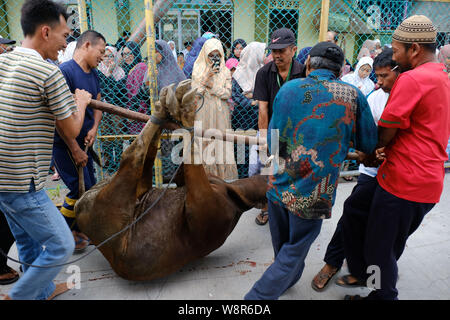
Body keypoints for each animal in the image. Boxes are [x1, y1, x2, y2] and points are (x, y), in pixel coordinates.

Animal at [74, 80, 268, 280]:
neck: (234, 196)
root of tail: (80, 200)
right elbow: (184, 164)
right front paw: (182, 109)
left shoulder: (208, 206)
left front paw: (187, 113)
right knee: (145, 157)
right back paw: (163, 106)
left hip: (109, 206)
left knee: (133, 155)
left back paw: (164, 110)